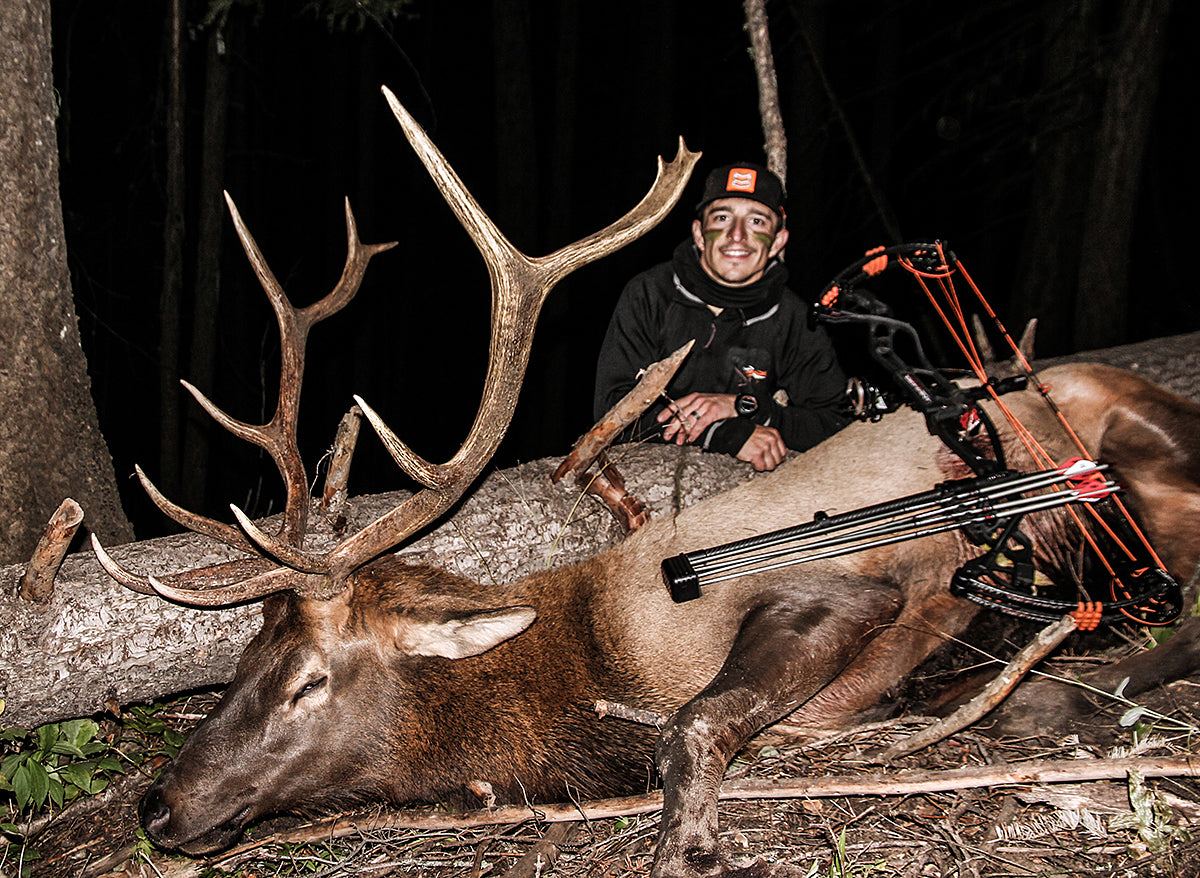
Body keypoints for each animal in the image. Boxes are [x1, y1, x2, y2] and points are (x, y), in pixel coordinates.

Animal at [88, 89, 1200, 878]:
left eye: (311, 678)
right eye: (241, 656)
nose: (157, 804)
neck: (580, 673)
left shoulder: (838, 586)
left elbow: (694, 721)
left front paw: (697, 844)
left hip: (1124, 445)